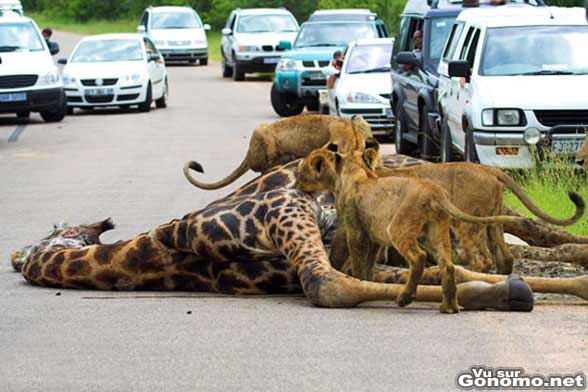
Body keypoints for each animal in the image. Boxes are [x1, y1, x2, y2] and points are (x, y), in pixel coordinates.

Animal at [298, 146, 544, 312]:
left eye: (304, 169)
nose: (297, 181)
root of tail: (491, 170)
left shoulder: (352, 228)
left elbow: (347, 254)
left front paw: (350, 274)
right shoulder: (373, 232)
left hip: (464, 223)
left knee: (479, 259)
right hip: (488, 223)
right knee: (503, 257)